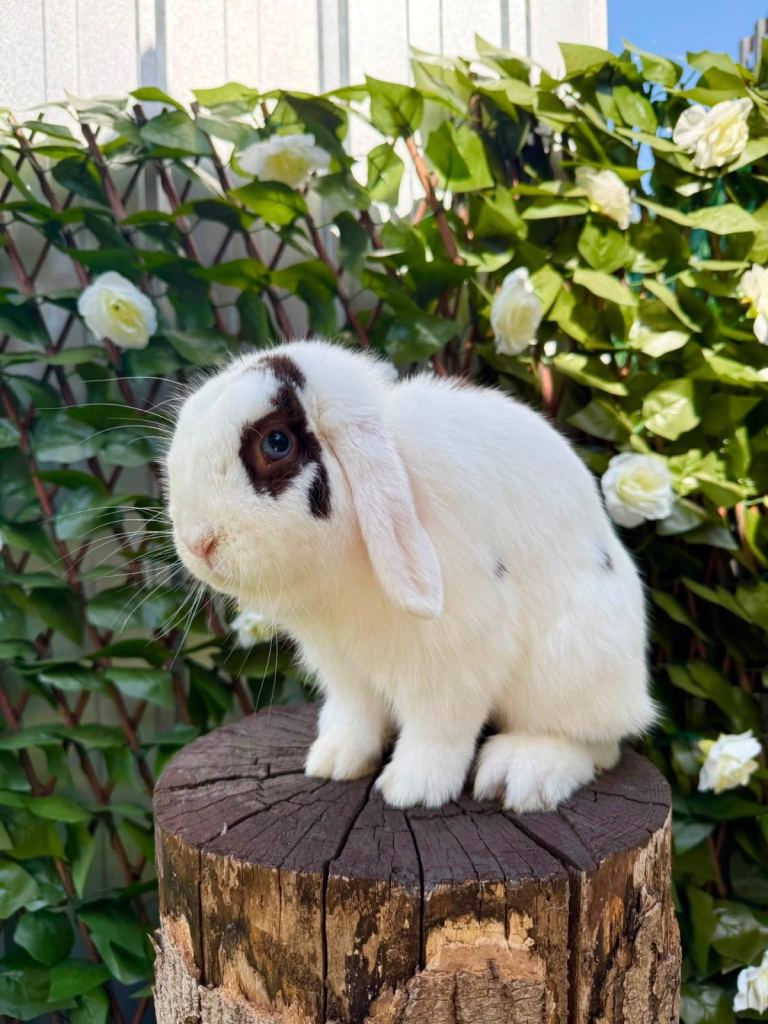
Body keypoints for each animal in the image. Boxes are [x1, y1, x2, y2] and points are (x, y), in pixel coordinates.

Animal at [165, 339, 655, 813]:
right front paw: (335, 762)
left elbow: (437, 728)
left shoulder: (454, 660)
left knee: (593, 741)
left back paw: (523, 773)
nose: (198, 542)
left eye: (277, 443)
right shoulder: (343, 668)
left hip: (572, 665)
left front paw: (411, 789)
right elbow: (357, 715)